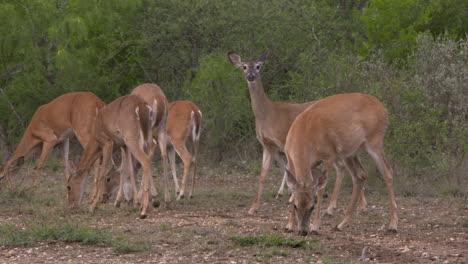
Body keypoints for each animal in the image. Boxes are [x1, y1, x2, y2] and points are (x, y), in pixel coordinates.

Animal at [227, 50, 366, 216]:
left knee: (344, 167)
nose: (251, 76)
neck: (268, 114)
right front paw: (253, 208)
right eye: (244, 67)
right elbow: (263, 175)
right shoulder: (267, 145)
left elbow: (288, 169)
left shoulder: (284, 141)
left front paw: (291, 197)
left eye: (259, 66)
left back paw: (349, 206)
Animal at [284, 93, 396, 235]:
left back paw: (393, 225)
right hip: (350, 152)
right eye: (295, 206)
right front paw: (289, 225)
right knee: (360, 175)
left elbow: (321, 190)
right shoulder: (290, 158)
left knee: (387, 172)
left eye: (312, 206)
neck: (304, 135)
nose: (303, 231)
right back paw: (341, 224)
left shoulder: (329, 156)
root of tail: (383, 109)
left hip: (374, 141)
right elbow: (293, 191)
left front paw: (315, 227)